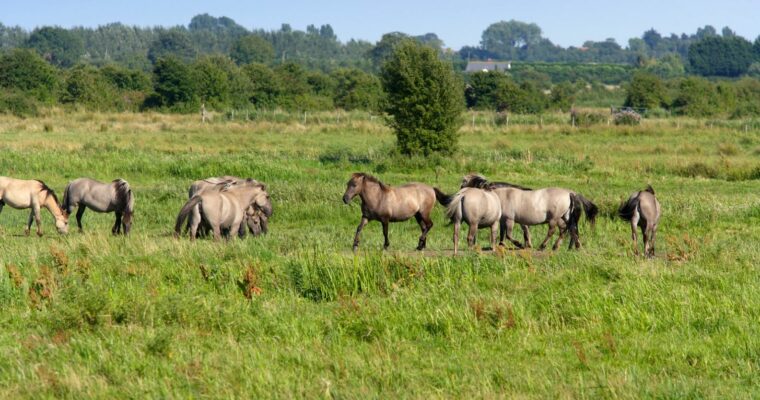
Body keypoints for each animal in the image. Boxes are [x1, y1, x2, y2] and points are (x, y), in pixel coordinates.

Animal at [460, 174, 596, 250]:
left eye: (463, 184)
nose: (459, 194)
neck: (503, 195)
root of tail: (570, 193)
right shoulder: (506, 220)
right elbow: (506, 233)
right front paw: (503, 245)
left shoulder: (510, 219)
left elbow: (511, 234)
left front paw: (520, 244)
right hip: (565, 217)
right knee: (570, 229)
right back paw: (570, 246)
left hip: (555, 218)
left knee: (554, 231)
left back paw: (543, 246)